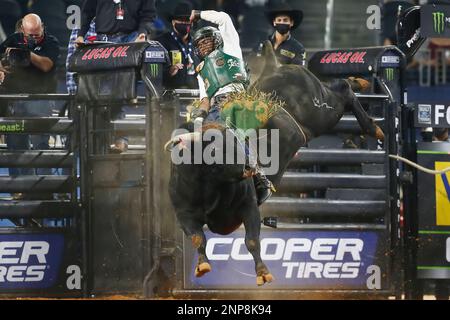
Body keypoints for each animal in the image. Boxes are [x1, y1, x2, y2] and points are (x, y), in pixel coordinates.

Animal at [166, 42, 384, 284]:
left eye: (234, 143)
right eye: (216, 151)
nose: (251, 168)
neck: (208, 186)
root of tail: (276, 68)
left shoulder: (249, 206)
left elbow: (252, 240)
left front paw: (263, 273)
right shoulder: (184, 215)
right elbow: (198, 239)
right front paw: (202, 265)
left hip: (323, 111)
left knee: (342, 89)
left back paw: (372, 123)